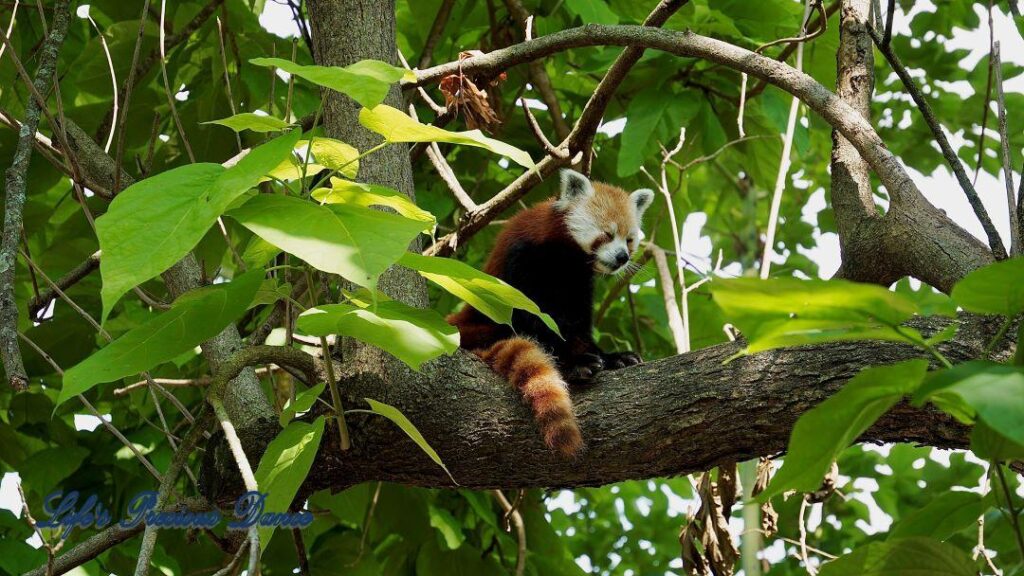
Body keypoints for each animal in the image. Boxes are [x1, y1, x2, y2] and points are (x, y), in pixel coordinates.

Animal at [448, 168, 655, 455]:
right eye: (607, 234)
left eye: (629, 239)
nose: (622, 257)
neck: (566, 257)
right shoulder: (524, 261)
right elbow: (534, 322)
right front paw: (575, 362)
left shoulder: (578, 285)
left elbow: (578, 326)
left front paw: (613, 357)